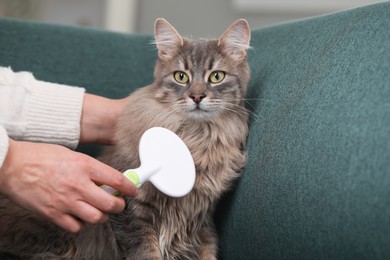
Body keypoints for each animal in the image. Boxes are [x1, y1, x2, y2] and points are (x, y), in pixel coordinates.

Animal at [0, 18, 250, 260]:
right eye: (181, 77)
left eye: (216, 76)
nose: (197, 96)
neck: (196, 137)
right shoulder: (132, 212)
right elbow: (146, 252)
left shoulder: (202, 218)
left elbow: (209, 250)